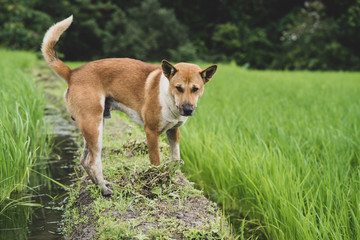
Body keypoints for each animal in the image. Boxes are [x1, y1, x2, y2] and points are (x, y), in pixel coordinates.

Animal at [42, 15, 217, 196]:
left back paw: (99, 185)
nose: (188, 110)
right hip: (94, 126)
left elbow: (176, 156)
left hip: (93, 123)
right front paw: (157, 181)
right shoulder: (151, 132)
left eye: (196, 89)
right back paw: (104, 189)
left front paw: (172, 177)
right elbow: (155, 162)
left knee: (83, 160)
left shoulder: (174, 130)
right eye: (179, 88)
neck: (168, 96)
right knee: (93, 161)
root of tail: (72, 73)